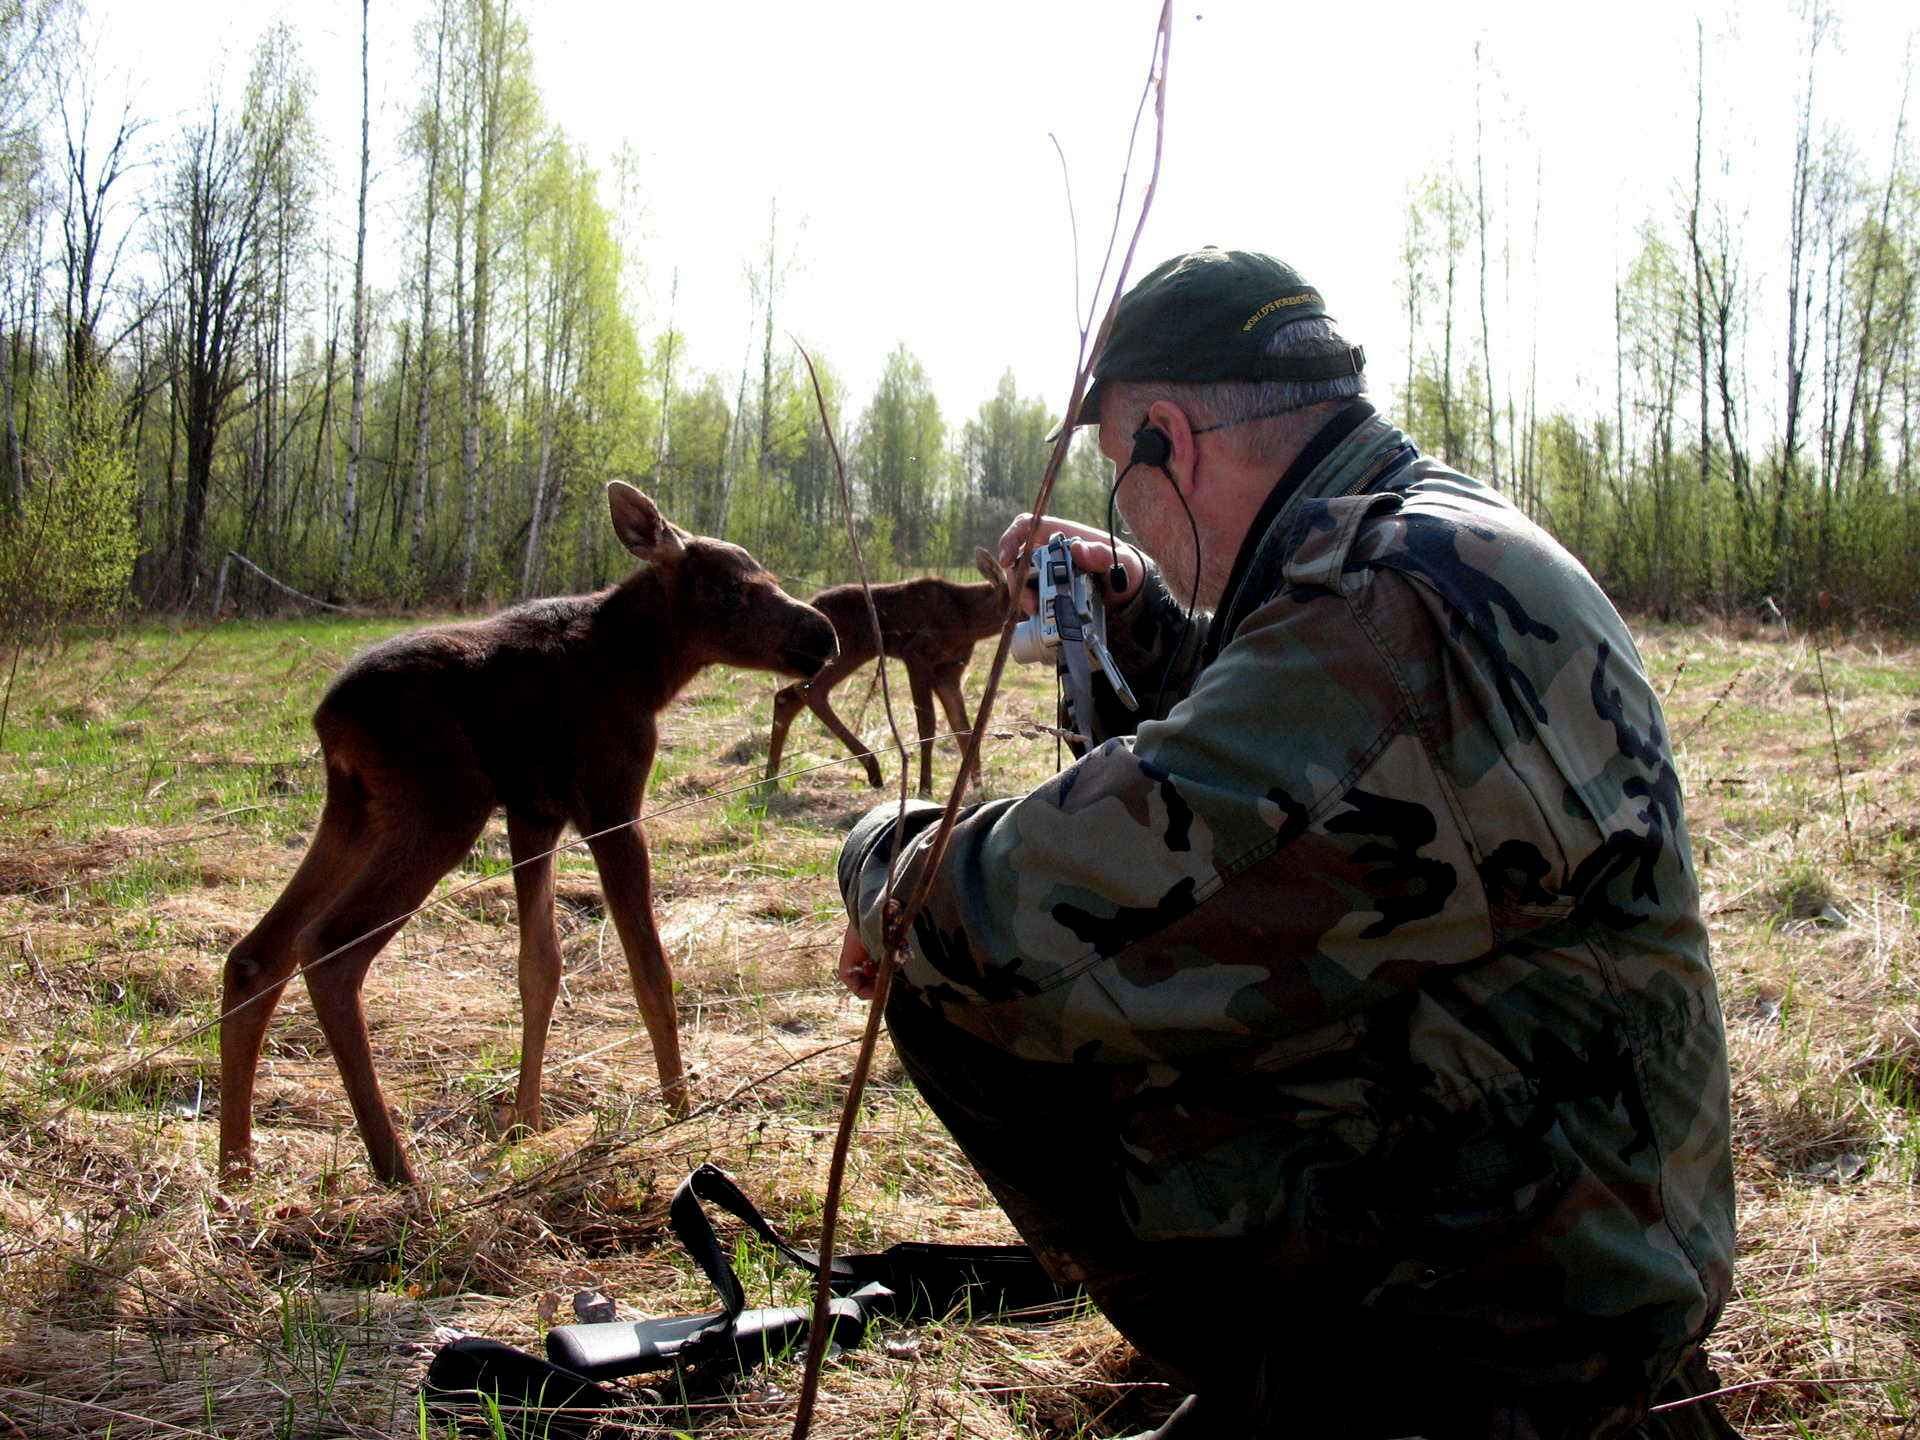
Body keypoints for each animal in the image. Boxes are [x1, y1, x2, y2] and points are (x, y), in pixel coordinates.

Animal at [217, 481, 833, 1182]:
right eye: (734, 591)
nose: (824, 632)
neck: (646, 669)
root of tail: (329, 715)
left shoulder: (534, 814)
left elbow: (539, 967)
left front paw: (525, 1123)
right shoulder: (611, 803)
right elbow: (649, 969)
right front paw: (679, 1110)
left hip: (356, 810)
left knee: (256, 955)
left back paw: (235, 1163)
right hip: (443, 806)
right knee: (328, 948)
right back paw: (393, 1164)